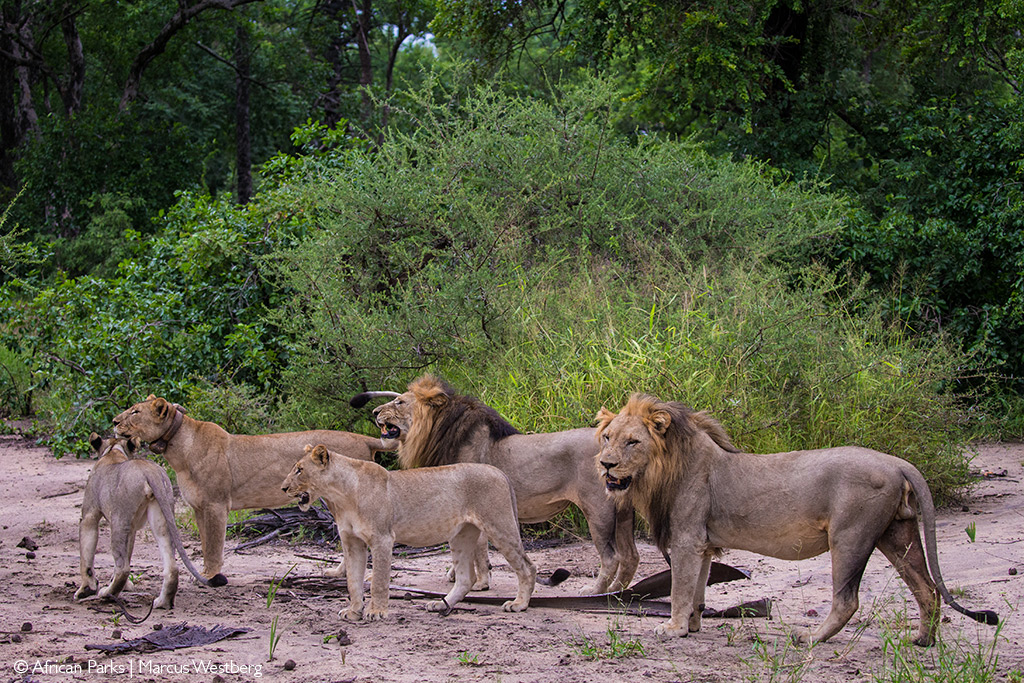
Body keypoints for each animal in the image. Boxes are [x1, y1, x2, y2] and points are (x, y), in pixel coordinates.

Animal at [114, 395, 393, 581]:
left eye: (135, 412)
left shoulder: (216, 505)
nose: (115, 421)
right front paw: (203, 573)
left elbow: (213, 545)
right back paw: (339, 572)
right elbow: (204, 543)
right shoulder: (198, 508)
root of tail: (364, 440)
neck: (178, 447)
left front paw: (211, 576)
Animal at [280, 446, 536, 622]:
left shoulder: (382, 538)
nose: (283, 488)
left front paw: (376, 612)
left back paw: (519, 604)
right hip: (462, 535)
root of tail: (499, 472)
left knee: (527, 567)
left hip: (499, 526)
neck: (341, 495)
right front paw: (353, 611)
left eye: (299, 470)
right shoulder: (352, 542)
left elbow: (378, 580)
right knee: (466, 578)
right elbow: (353, 581)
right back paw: (441, 605)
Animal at [354, 376, 638, 593]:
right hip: (623, 515)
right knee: (631, 557)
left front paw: (480, 583)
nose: (374, 412)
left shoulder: (474, 499)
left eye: (399, 402)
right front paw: (458, 575)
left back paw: (594, 591)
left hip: (597, 511)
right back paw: (616, 592)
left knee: (612, 557)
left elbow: (479, 549)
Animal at [598, 395, 995, 647]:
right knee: (926, 588)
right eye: (607, 437)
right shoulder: (704, 545)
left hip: (850, 536)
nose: (604, 464)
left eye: (632, 442)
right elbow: (697, 588)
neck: (662, 470)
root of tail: (897, 462)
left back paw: (811, 638)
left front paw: (674, 628)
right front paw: (694, 625)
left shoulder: (686, 540)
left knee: (847, 600)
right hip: (898, 534)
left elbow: (680, 588)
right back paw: (923, 640)